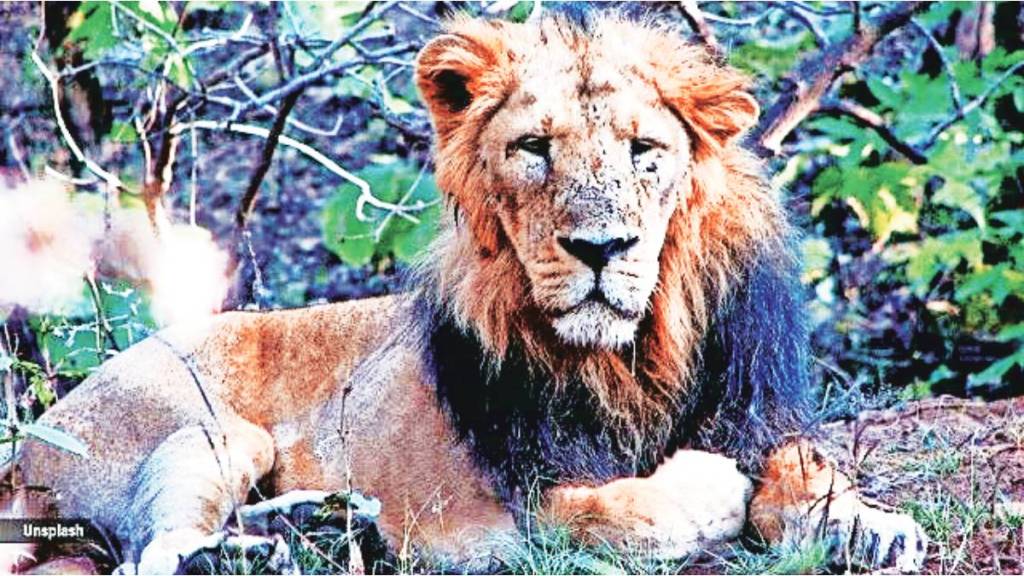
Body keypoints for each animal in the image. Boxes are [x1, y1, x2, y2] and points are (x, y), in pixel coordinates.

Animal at [2, 10, 929, 573]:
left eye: (644, 151)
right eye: (534, 149)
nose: (601, 248)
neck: (633, 355)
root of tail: (29, 444)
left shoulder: (760, 411)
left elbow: (807, 471)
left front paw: (868, 525)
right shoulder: (524, 511)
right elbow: (633, 512)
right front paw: (713, 488)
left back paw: (310, 523)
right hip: (210, 431)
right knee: (150, 556)